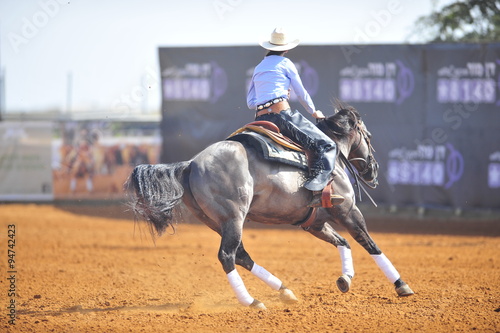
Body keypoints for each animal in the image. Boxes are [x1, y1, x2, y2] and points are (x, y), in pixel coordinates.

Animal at [128, 104, 414, 308]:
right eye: (369, 136)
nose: (373, 170)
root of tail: (190, 163)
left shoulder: (315, 223)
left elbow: (343, 242)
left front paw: (345, 279)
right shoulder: (347, 211)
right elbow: (370, 244)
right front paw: (401, 285)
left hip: (218, 222)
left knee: (242, 256)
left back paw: (284, 290)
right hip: (233, 218)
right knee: (227, 256)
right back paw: (252, 301)